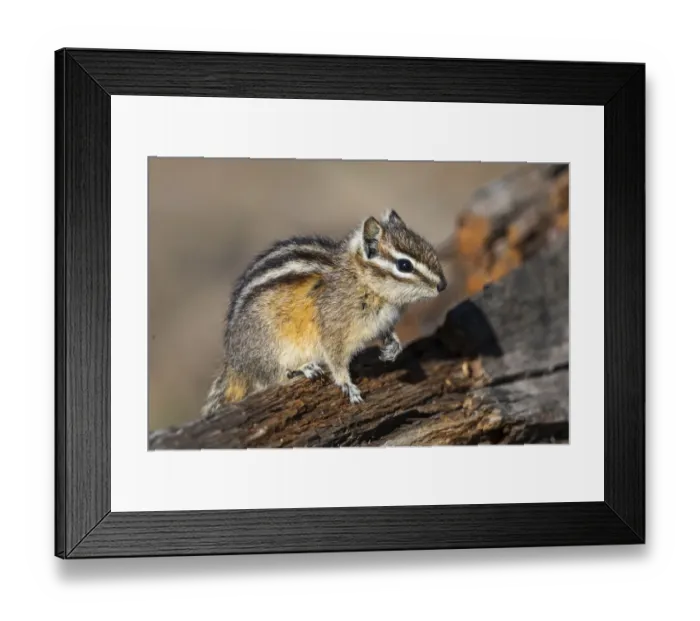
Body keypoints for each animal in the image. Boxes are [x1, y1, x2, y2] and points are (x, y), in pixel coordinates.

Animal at [201, 209, 447, 416]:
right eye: (404, 266)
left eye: (427, 246)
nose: (443, 285)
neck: (360, 279)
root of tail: (235, 363)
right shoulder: (333, 328)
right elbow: (335, 359)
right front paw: (347, 385)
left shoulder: (382, 321)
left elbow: (387, 332)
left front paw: (393, 347)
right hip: (270, 346)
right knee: (273, 377)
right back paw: (302, 369)